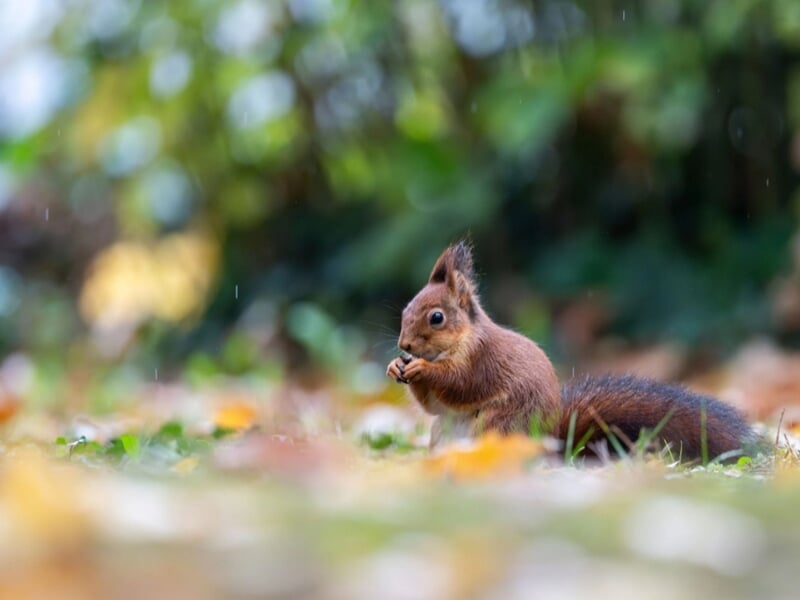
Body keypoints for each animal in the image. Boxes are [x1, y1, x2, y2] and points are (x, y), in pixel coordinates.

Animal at [386, 241, 755, 461]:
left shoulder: (482, 360)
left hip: (498, 425)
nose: (404, 345)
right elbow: (433, 406)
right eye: (405, 309)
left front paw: (422, 369)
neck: (461, 341)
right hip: (444, 432)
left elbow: (461, 384)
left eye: (437, 318)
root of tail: (552, 444)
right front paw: (394, 366)